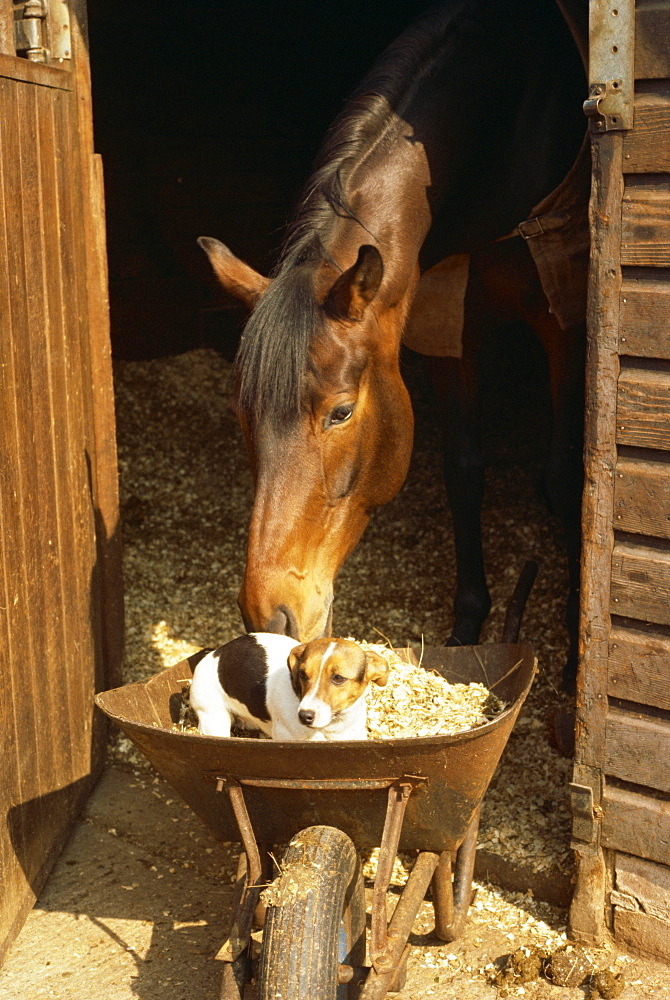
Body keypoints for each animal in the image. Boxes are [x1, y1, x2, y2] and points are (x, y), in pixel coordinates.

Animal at [186, 636, 392, 740]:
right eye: (302, 674)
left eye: (338, 678)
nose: (304, 715)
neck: (330, 727)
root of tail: (214, 653)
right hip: (214, 720)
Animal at [198, 0, 588, 688]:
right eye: (243, 416)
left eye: (341, 413)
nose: (270, 615)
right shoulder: (446, 323)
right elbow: (463, 470)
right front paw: (467, 627)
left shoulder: (562, 320)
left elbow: (565, 481)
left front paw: (572, 662)